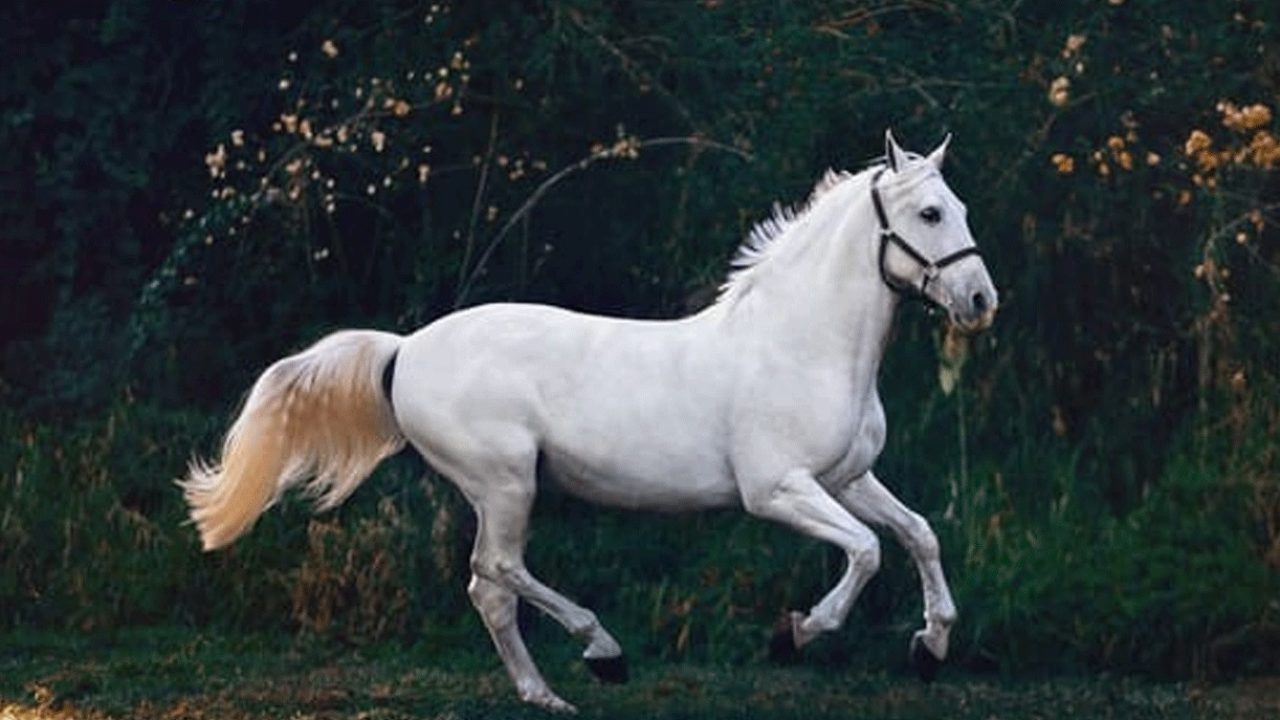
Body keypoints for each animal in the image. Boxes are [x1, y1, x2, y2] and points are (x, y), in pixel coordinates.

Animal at [180, 131, 997, 713]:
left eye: (961, 209)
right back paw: (602, 653)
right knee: (498, 572)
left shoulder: (848, 478)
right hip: (506, 483)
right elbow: (866, 551)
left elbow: (918, 534)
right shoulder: (777, 490)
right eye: (930, 213)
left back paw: (546, 695)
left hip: (501, 490)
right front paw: (796, 634)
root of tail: (405, 348)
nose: (981, 301)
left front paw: (930, 647)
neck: (800, 343)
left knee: (488, 588)